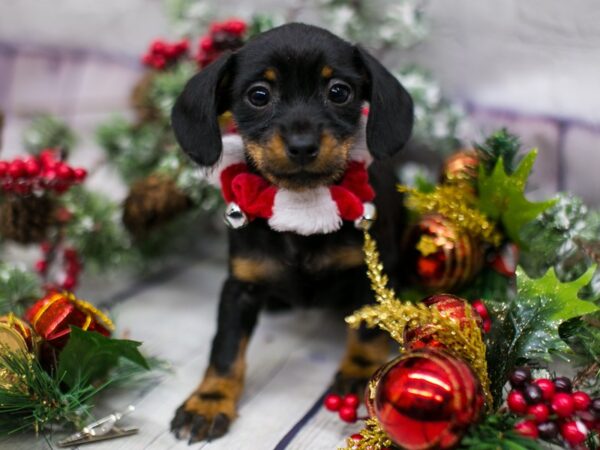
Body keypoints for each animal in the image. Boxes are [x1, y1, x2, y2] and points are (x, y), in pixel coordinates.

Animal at [169, 23, 412, 442]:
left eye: (339, 91)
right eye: (259, 95)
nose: (302, 146)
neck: (302, 212)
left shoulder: (373, 273)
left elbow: (368, 329)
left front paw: (361, 371)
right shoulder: (239, 288)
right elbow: (226, 349)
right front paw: (210, 400)